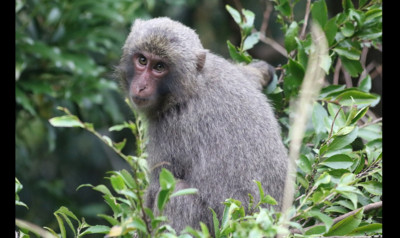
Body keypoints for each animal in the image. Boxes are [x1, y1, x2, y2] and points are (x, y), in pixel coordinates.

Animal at [115, 17, 288, 234]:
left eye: (159, 67)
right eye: (142, 61)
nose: (141, 87)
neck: (189, 86)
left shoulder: (171, 128)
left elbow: (158, 188)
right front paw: (260, 71)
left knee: (178, 194)